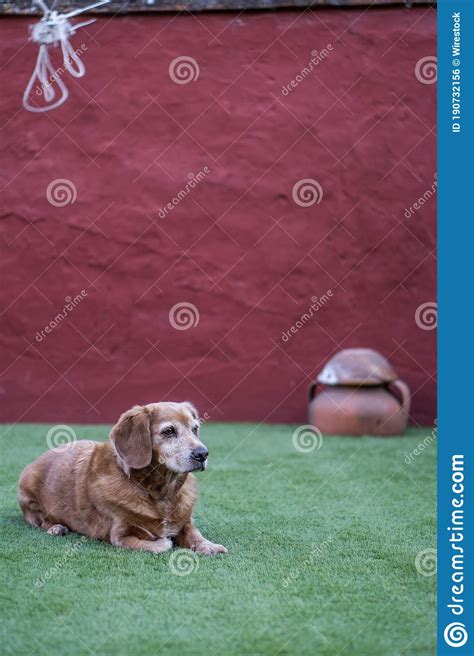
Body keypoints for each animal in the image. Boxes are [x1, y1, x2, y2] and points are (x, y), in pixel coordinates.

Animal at [16, 402, 228, 556]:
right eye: (169, 431)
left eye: (195, 429)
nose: (203, 453)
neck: (161, 493)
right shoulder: (121, 535)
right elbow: (161, 545)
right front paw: (165, 540)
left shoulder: (186, 522)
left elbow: (195, 533)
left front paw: (208, 545)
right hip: (28, 493)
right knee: (41, 520)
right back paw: (56, 528)